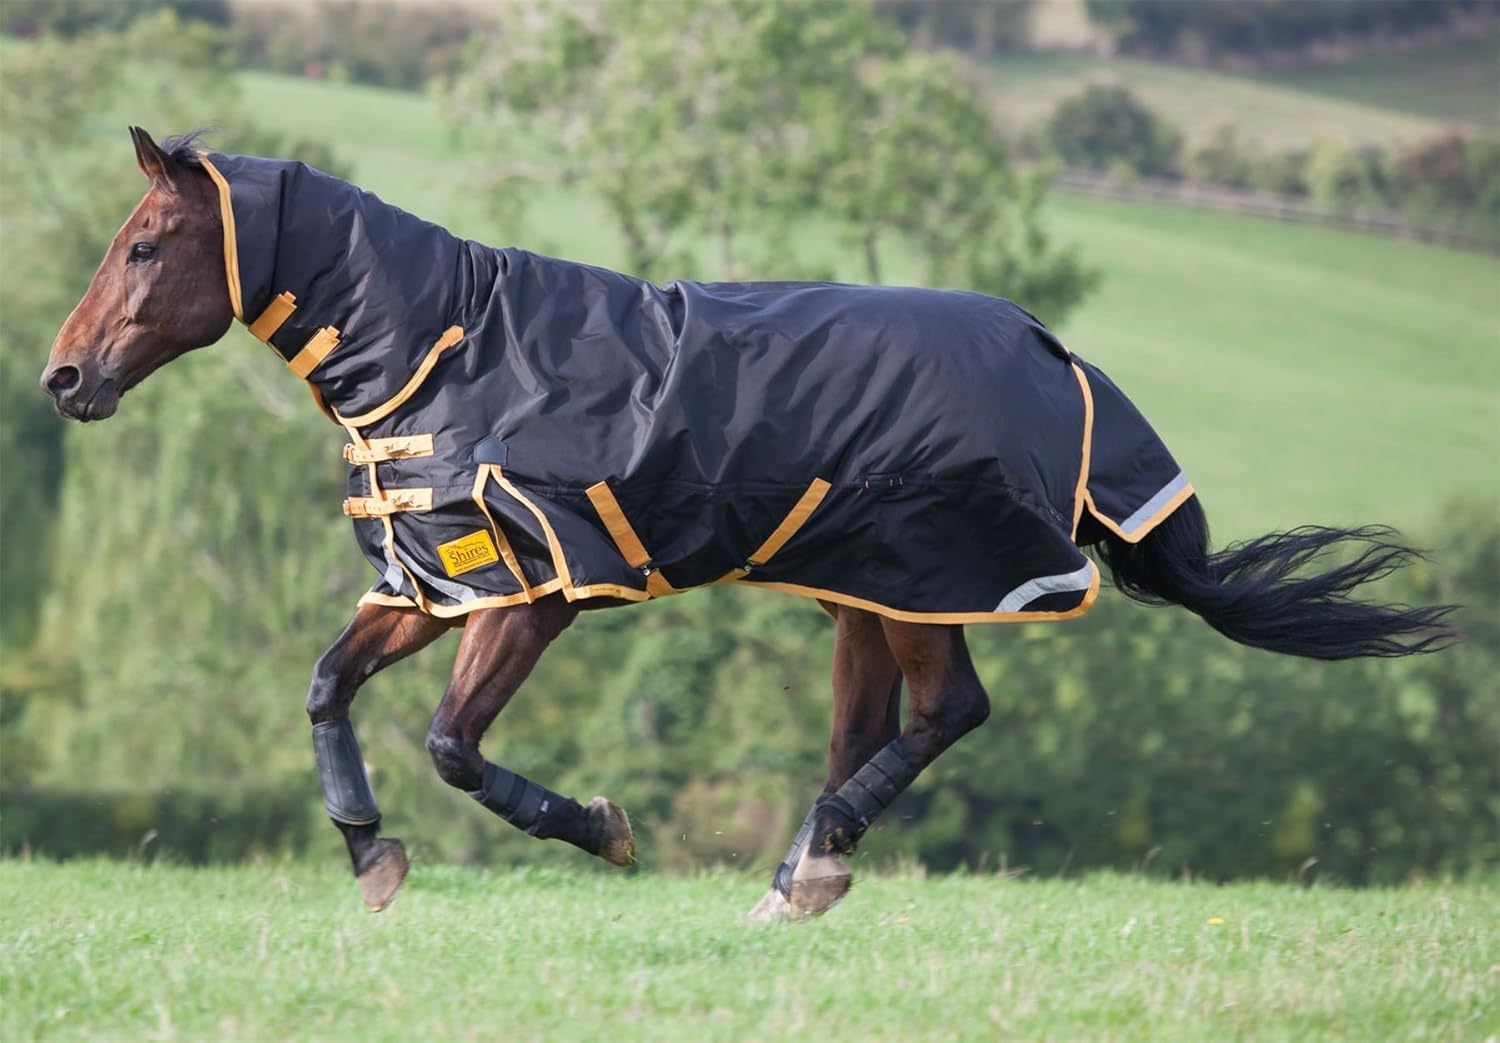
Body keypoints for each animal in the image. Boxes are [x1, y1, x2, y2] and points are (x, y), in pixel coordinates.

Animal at [42, 128, 1455, 920]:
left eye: (145, 244)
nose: (63, 378)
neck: (450, 349)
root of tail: (1057, 357)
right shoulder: (432, 583)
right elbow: (328, 687)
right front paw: (371, 859)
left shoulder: (536, 595)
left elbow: (452, 743)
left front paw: (604, 829)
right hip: (865, 596)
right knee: (872, 730)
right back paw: (803, 873)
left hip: (926, 578)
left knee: (946, 712)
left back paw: (805, 872)